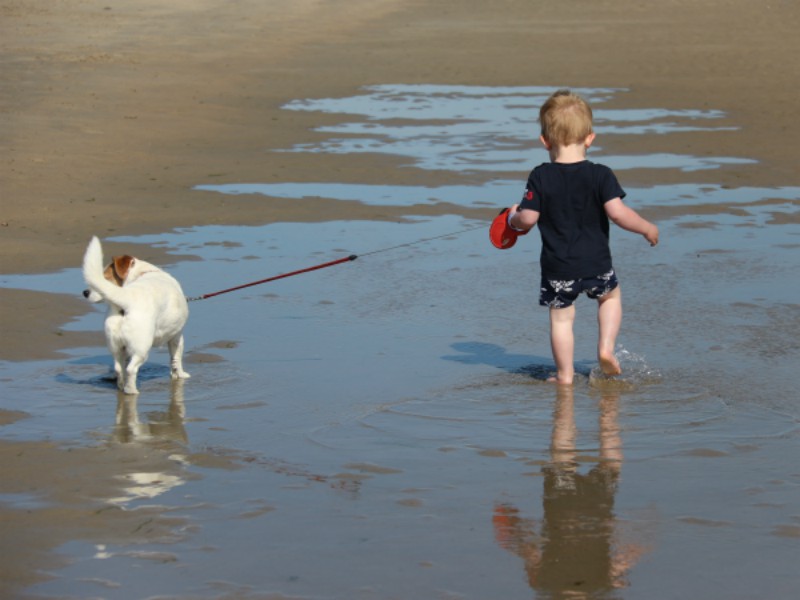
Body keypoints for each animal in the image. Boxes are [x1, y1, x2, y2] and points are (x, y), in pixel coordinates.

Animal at [83, 237, 191, 396]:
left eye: (106, 277)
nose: (85, 293)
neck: (142, 273)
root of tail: (127, 298)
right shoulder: (177, 336)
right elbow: (176, 358)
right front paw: (180, 375)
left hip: (116, 346)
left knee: (119, 368)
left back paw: (121, 386)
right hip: (142, 348)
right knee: (131, 369)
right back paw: (131, 390)